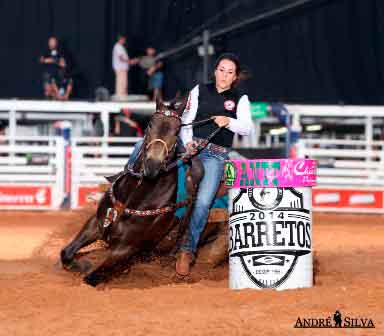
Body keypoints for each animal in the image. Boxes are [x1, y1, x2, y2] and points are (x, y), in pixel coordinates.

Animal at [60, 98, 206, 288]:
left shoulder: (126, 248)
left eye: (177, 130)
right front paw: (84, 263)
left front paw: (87, 267)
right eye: (150, 124)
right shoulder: (96, 223)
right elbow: (66, 253)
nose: (152, 165)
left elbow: (91, 278)